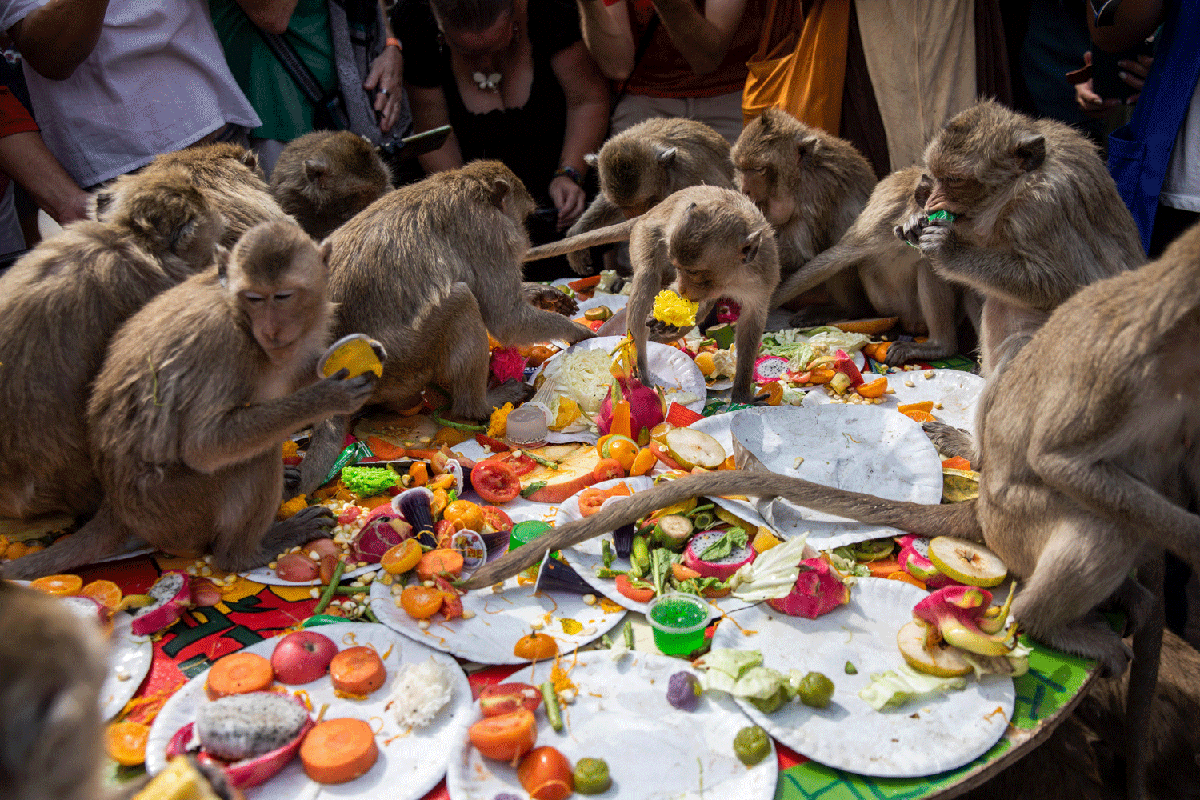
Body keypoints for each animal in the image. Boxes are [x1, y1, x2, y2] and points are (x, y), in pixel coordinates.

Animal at [0, 220, 376, 579]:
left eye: (282, 296)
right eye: (254, 298)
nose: (270, 329)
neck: (239, 315)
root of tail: (116, 507)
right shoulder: (227, 347)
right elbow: (204, 446)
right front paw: (328, 397)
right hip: (176, 511)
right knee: (253, 457)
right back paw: (244, 554)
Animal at [294, 160, 596, 496]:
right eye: (523, 216)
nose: (527, 237)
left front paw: (544, 295)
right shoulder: (490, 234)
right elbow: (506, 317)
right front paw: (577, 333)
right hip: (405, 362)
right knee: (462, 301)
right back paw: (478, 405)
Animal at [525, 185, 781, 406]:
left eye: (694, 272)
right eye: (679, 268)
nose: (686, 289)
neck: (733, 277)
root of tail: (649, 212)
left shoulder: (763, 276)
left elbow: (750, 323)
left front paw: (742, 394)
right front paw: (666, 315)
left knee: (698, 310)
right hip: (644, 233)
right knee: (648, 275)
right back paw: (639, 362)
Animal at [731, 108, 879, 326]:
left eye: (759, 169)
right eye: (741, 168)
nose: (745, 189)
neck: (797, 177)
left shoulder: (816, 188)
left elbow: (799, 252)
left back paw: (846, 310)